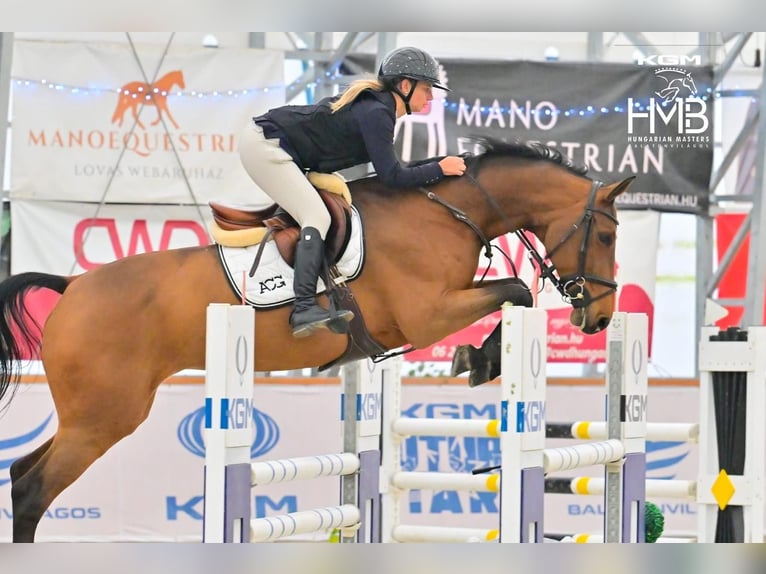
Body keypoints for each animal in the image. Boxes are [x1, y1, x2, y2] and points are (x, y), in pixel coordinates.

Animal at [0, 138, 633, 542]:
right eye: (605, 235)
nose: (600, 318)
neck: (448, 212)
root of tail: (73, 285)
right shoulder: (428, 314)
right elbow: (517, 291)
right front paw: (479, 358)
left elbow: (511, 293)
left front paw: (478, 358)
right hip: (105, 416)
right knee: (33, 490)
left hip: (92, 416)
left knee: (23, 474)